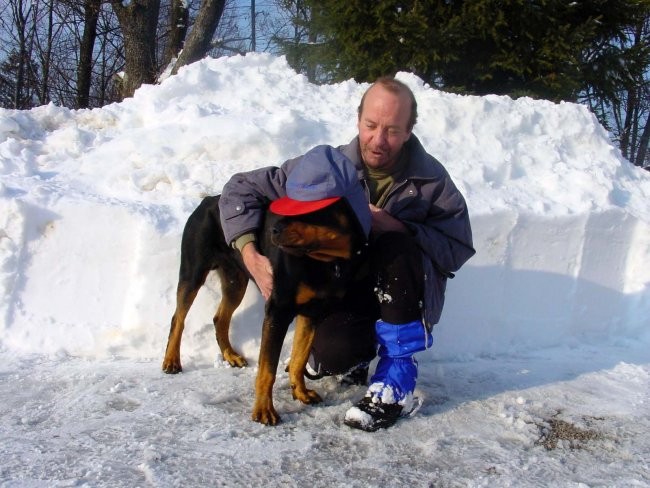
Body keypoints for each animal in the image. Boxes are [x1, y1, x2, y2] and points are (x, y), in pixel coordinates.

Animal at [161, 194, 368, 424]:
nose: (273, 230)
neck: (328, 262)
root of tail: (207, 200)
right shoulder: (277, 311)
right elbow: (267, 370)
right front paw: (263, 410)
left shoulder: (311, 313)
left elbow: (300, 358)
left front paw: (301, 393)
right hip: (193, 272)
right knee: (178, 318)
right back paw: (171, 361)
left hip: (235, 280)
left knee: (219, 318)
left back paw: (230, 355)